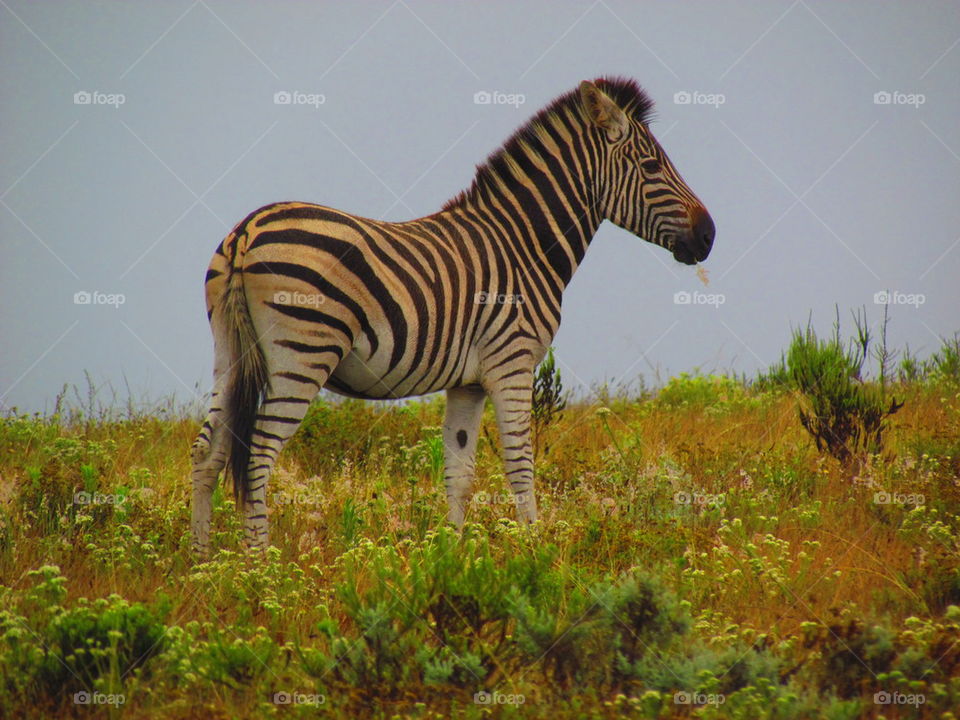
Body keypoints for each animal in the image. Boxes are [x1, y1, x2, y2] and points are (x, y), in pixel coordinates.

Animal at [190, 77, 715, 555]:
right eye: (651, 165)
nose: (709, 234)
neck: (523, 245)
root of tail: (246, 230)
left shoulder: (469, 382)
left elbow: (458, 471)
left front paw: (453, 557)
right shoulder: (512, 363)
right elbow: (520, 463)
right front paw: (536, 550)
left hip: (229, 352)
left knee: (207, 450)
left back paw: (204, 565)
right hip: (302, 353)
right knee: (256, 455)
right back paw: (260, 567)